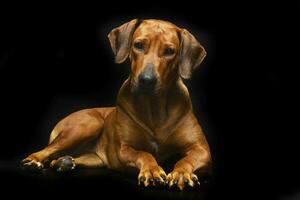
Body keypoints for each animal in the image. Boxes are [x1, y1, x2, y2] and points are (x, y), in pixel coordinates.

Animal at [21, 18, 211, 191]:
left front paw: (181, 173)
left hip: (94, 158)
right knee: (45, 151)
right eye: (138, 45)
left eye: (169, 51)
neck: (154, 106)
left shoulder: (201, 149)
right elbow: (143, 153)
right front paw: (152, 170)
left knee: (57, 159)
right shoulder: (124, 149)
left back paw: (64, 162)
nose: (146, 80)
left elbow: (187, 158)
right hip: (89, 124)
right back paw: (33, 162)